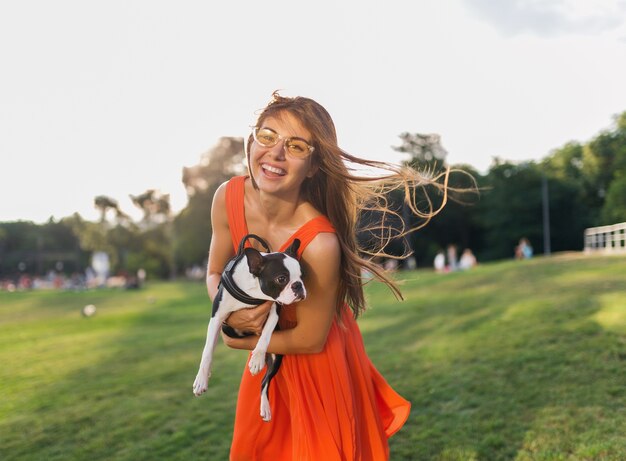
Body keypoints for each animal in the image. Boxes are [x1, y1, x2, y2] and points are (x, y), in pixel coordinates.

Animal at [191, 234, 306, 420]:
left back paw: (265, 407)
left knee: (264, 382)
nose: (298, 285)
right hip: (227, 329)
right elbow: (207, 351)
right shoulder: (217, 317)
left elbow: (265, 335)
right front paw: (201, 379)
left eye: (303, 276)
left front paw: (257, 359)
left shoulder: (274, 310)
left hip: (277, 357)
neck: (254, 291)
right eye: (281, 279)